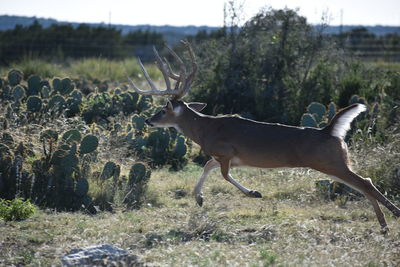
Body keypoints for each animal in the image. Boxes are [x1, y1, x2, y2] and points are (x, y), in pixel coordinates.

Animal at [128, 39, 400, 232]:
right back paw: (384, 224)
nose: (149, 120)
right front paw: (199, 199)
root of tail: (329, 130)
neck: (205, 129)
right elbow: (207, 167)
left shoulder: (226, 152)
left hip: (329, 161)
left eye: (163, 110)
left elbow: (223, 175)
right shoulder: (224, 156)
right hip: (334, 162)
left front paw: (253, 193)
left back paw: (389, 220)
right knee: (365, 182)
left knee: (365, 183)